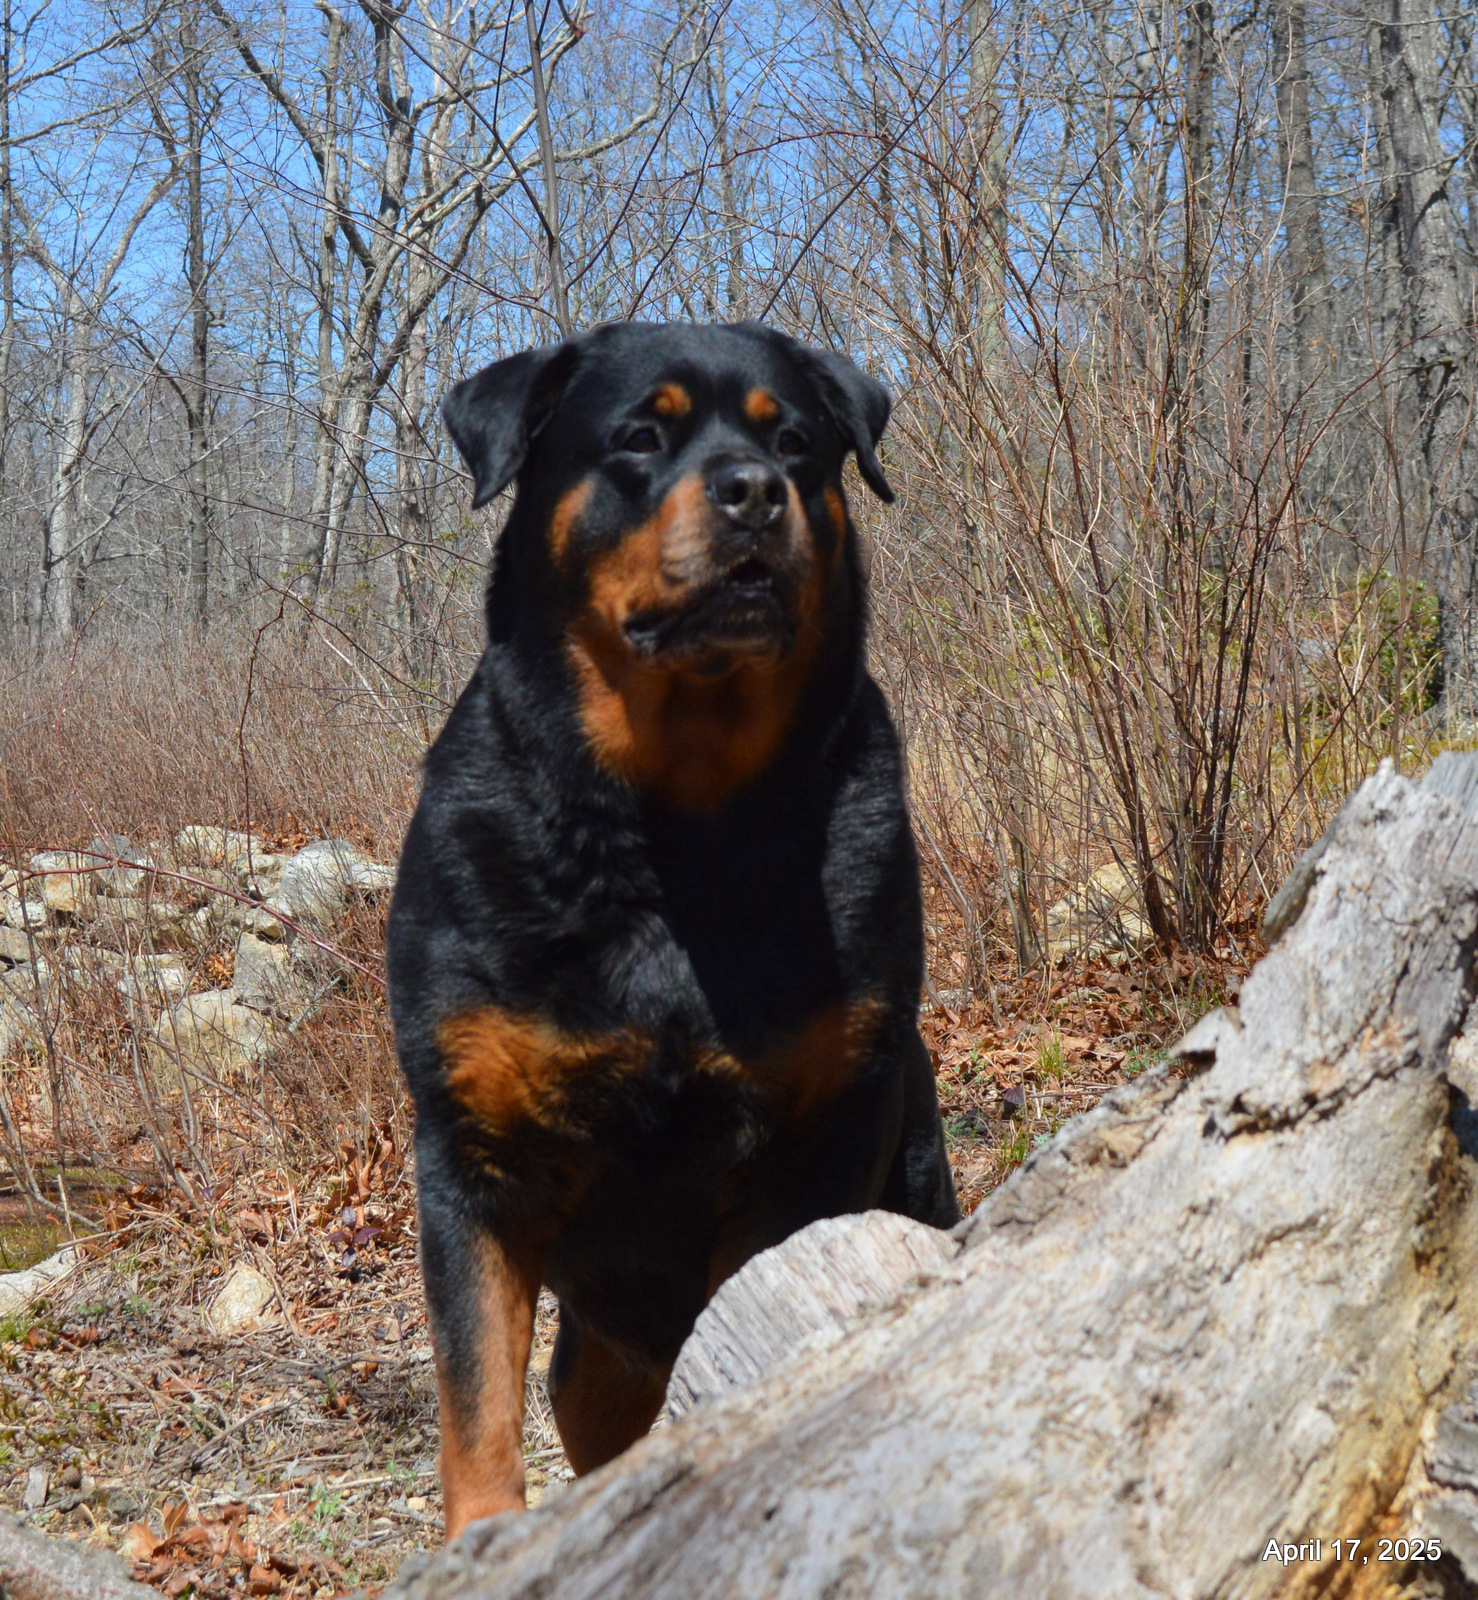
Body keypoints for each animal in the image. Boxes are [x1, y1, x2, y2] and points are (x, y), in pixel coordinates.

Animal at [386, 320, 958, 1539]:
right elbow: (475, 1405)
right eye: (639, 438)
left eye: (796, 444)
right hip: (598, 1360)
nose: (753, 492)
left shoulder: (817, 1137)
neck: (668, 831)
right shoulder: (471, 1157)